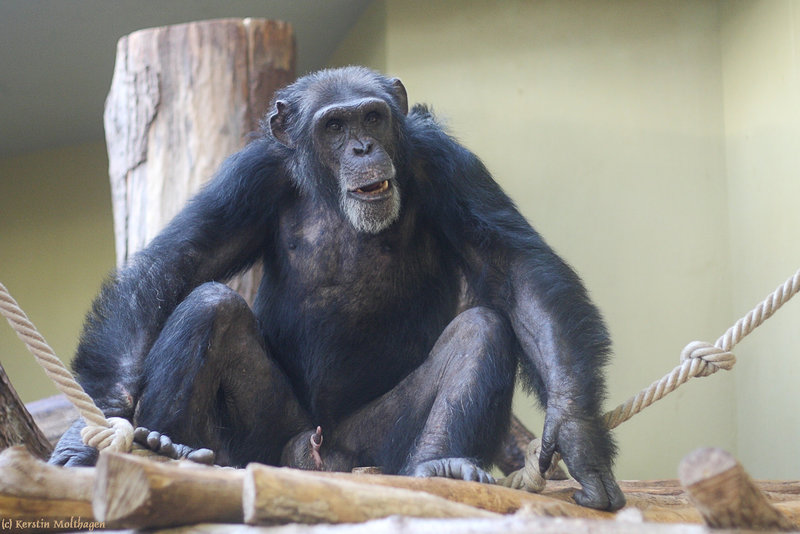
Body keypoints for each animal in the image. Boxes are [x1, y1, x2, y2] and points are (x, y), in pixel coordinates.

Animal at [48, 66, 624, 510]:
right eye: (333, 125)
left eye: (372, 116)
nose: (363, 147)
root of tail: (315, 455)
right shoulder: (247, 176)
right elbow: (175, 265)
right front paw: (90, 427)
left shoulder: (446, 163)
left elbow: (517, 274)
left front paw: (578, 437)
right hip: (260, 443)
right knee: (209, 305)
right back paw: (168, 447)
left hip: (373, 449)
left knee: (481, 329)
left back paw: (441, 466)